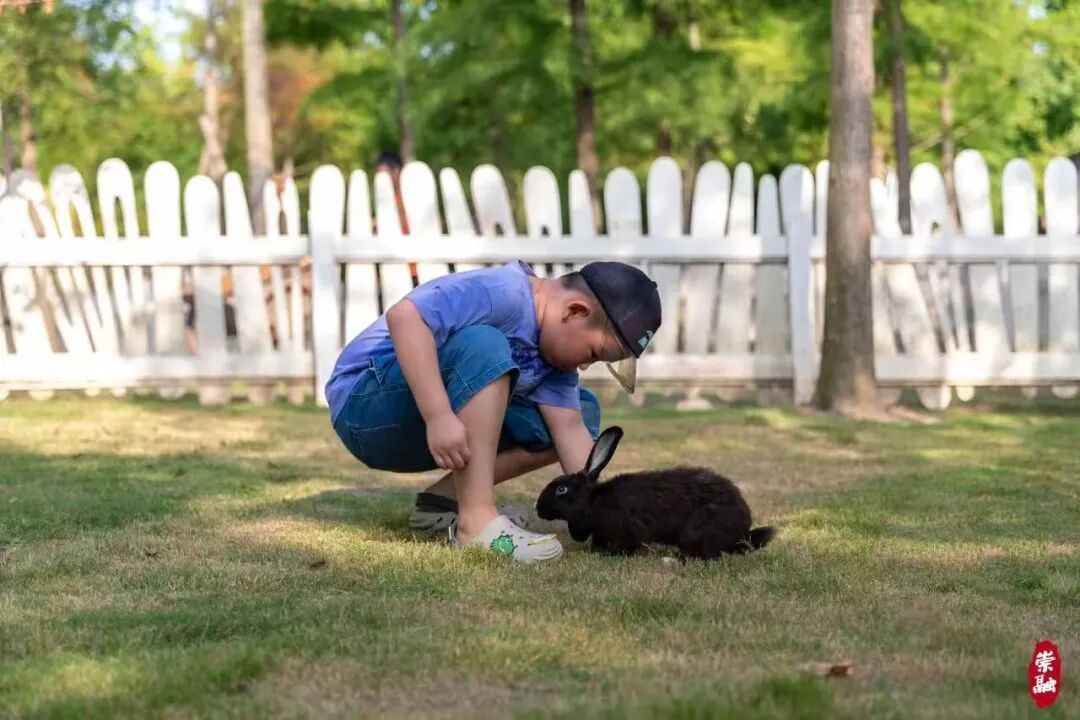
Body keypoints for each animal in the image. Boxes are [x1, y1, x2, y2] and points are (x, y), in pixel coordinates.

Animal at [535, 426, 775, 559]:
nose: (538, 509)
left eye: (562, 489)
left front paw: (609, 555)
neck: (594, 502)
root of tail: (742, 531)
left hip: (697, 531)